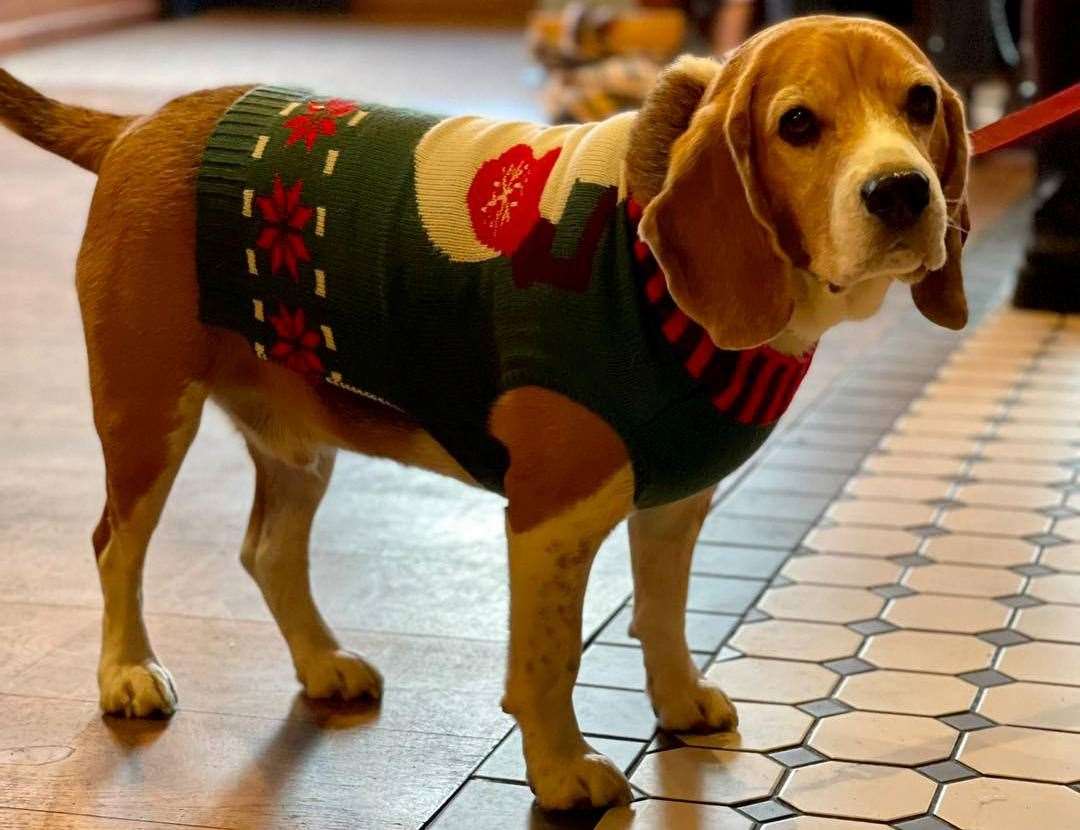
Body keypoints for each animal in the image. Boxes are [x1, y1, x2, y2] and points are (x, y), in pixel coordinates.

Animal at [2, 14, 972, 811]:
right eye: (798, 124)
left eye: (921, 102)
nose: (902, 191)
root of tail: (138, 126)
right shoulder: (552, 517)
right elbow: (548, 661)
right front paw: (561, 772)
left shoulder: (673, 504)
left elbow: (662, 615)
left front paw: (675, 700)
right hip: (145, 415)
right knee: (115, 547)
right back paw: (127, 670)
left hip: (296, 439)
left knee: (268, 551)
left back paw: (320, 662)